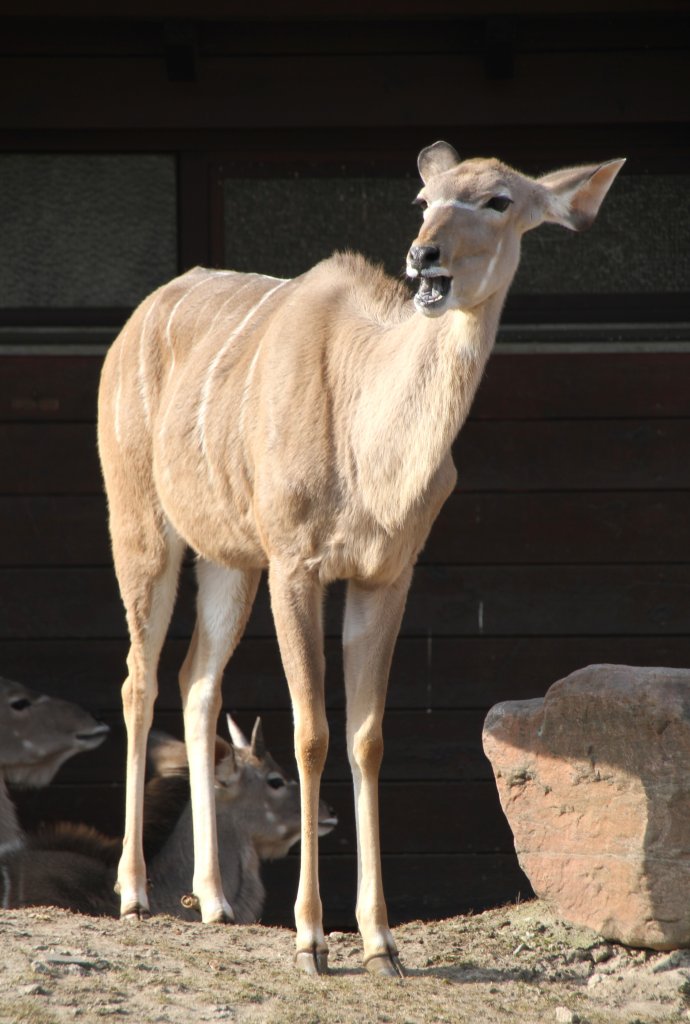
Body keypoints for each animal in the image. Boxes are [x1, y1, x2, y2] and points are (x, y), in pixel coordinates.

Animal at [98, 138, 622, 974]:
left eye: (499, 200)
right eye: (425, 201)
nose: (425, 258)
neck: (368, 441)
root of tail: (131, 330)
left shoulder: (385, 575)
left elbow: (367, 738)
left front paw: (381, 941)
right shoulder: (296, 564)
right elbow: (311, 732)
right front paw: (312, 939)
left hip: (229, 559)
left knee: (197, 681)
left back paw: (212, 901)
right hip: (142, 523)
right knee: (138, 679)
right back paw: (135, 894)